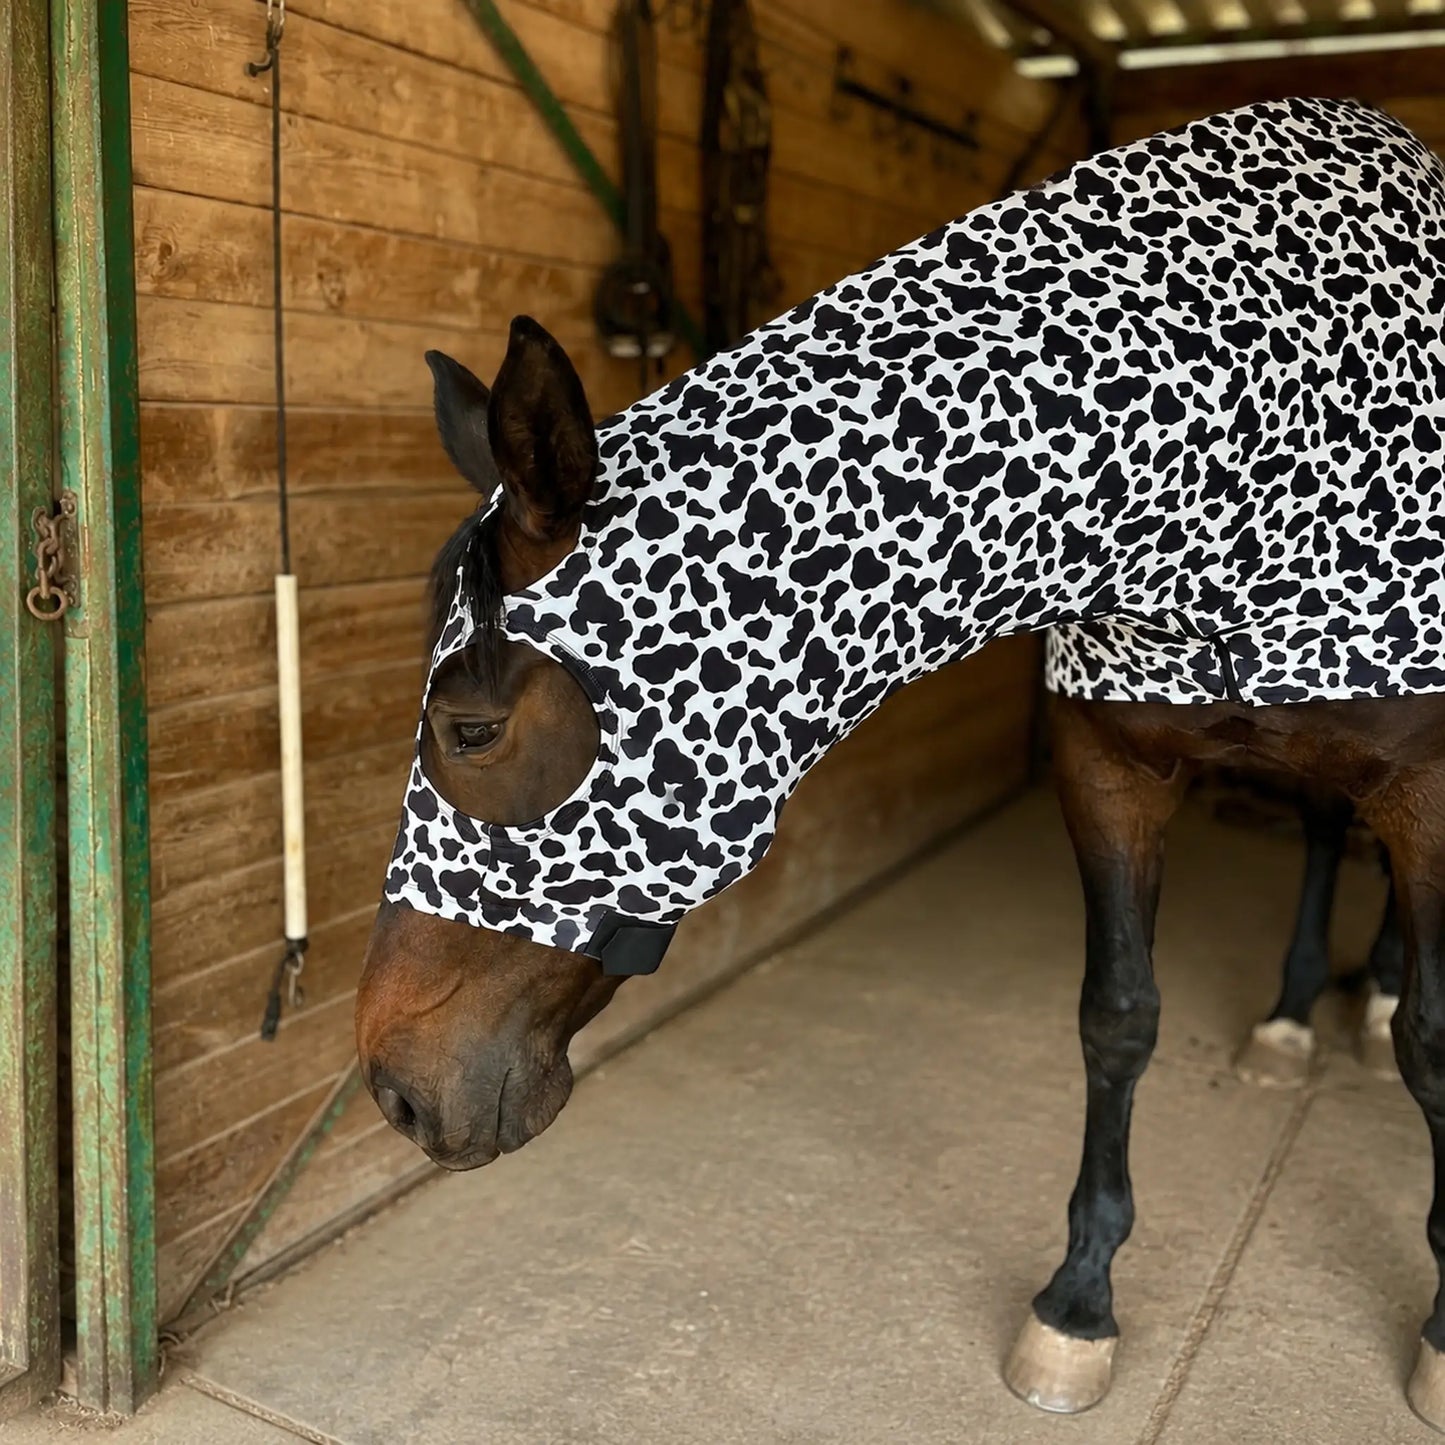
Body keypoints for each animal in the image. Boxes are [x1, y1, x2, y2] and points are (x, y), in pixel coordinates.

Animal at [355, 98, 1445, 1428]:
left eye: (470, 730)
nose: (394, 1089)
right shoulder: (1107, 766)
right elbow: (1116, 1018)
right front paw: (1076, 1303)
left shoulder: (1431, 788)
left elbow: (1435, 1047)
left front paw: (1441, 1329)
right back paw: (1297, 1015)